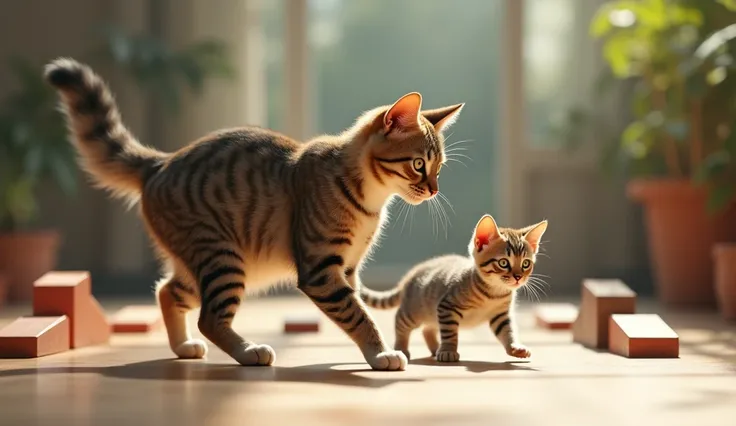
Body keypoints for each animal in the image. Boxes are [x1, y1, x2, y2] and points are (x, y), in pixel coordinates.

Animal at [44, 58, 460, 372]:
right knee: (209, 318)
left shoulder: (348, 268)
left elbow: (356, 310)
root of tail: (161, 162)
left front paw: (374, 349)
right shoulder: (321, 270)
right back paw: (248, 351)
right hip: (223, 256)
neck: (369, 201)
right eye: (419, 165)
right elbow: (357, 314)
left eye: (439, 167)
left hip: (201, 263)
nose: (435, 189)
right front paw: (380, 353)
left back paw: (184, 347)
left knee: (167, 291)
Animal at [360, 215, 548, 362]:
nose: (518, 277)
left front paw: (514, 347)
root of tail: (412, 273)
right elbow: (450, 332)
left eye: (526, 264)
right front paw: (449, 350)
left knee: (428, 329)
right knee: (400, 321)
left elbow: (507, 331)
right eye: (503, 263)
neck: (494, 293)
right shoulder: (447, 306)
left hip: (431, 312)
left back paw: (435, 348)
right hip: (414, 311)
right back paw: (402, 348)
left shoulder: (501, 314)